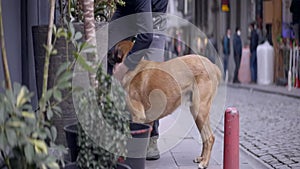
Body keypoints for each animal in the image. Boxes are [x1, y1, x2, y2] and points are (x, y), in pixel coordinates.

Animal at [113, 40, 221, 168]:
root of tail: (212, 65)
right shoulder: (148, 120)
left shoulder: (138, 117)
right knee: (205, 137)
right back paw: (201, 158)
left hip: (199, 109)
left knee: (210, 138)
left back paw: (204, 163)